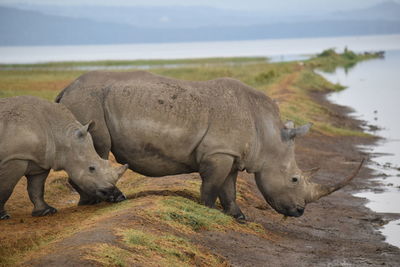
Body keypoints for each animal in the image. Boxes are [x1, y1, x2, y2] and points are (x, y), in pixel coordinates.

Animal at [0, 96, 128, 220]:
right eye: (91, 168)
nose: (120, 197)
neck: (61, 135)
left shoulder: (42, 162)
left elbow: (36, 188)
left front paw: (46, 212)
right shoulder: (14, 159)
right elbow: (6, 188)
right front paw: (3, 216)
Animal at [54, 70, 364, 220]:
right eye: (295, 179)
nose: (300, 212)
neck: (268, 134)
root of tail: (67, 88)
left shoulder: (232, 154)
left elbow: (230, 187)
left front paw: (239, 217)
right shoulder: (218, 153)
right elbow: (212, 186)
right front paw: (207, 211)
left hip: (85, 101)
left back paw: (89, 201)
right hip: (88, 103)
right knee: (97, 147)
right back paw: (103, 200)